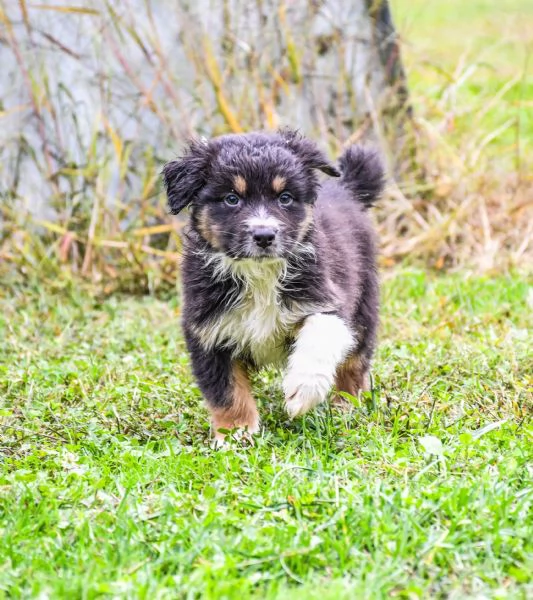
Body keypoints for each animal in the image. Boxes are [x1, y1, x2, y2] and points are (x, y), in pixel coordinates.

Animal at [162, 130, 382, 440]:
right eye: (232, 199)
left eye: (285, 198)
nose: (264, 235)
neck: (259, 275)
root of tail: (346, 189)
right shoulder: (207, 330)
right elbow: (225, 390)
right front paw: (236, 433)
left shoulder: (326, 298)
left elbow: (321, 333)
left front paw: (303, 389)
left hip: (365, 304)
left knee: (355, 363)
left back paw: (345, 406)